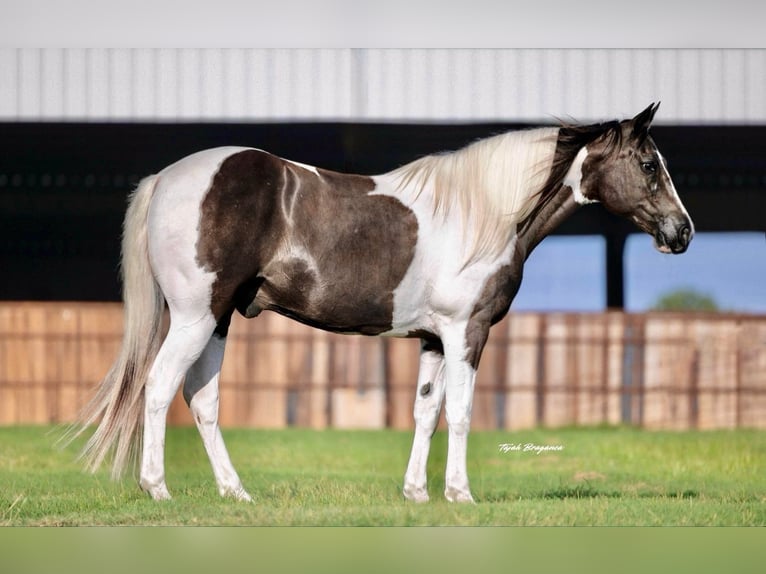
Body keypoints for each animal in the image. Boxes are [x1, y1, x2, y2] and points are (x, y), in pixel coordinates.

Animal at [73, 103, 693, 503]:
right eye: (648, 164)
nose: (682, 232)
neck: (484, 213)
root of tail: (167, 177)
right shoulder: (467, 333)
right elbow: (461, 412)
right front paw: (461, 494)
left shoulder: (433, 339)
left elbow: (426, 412)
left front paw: (418, 494)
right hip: (195, 318)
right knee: (158, 388)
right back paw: (158, 490)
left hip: (218, 321)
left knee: (202, 400)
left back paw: (236, 492)